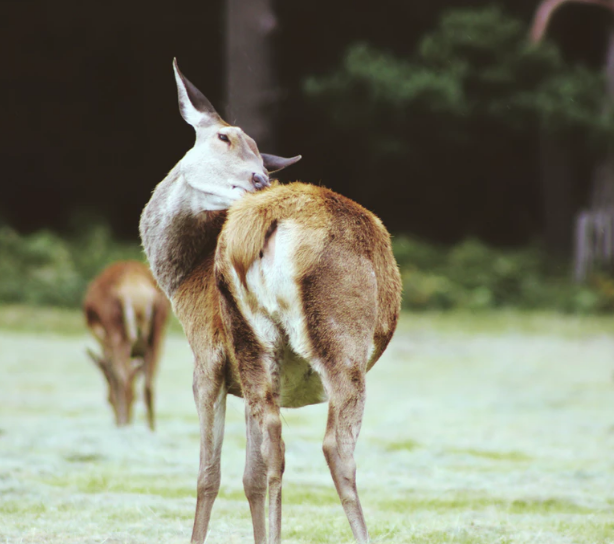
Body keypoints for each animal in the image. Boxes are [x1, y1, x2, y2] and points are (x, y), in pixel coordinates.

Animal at [83, 260, 171, 430]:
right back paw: (150, 429)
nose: (116, 421)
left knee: (124, 379)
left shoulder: (107, 344)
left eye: (108, 400)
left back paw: (126, 428)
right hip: (158, 332)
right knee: (148, 385)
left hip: (117, 331)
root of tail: (138, 292)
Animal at [138, 60, 404, 544]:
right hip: (303, 337)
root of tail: (263, 218)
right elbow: (237, 474)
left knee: (307, 445)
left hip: (297, 336)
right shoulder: (226, 365)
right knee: (302, 444)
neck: (182, 281)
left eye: (262, 156)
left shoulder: (209, 358)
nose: (261, 178)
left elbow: (222, 475)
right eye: (223, 137)